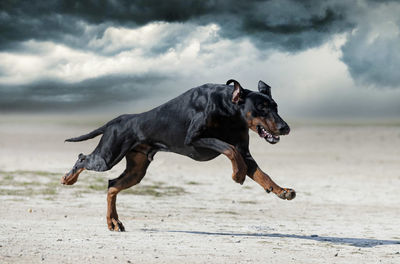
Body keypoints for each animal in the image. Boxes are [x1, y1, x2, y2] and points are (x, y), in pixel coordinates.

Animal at [61, 79, 294, 231]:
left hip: (136, 170)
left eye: (275, 106)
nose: (285, 127)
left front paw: (282, 191)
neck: (229, 108)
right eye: (261, 107)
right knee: (83, 158)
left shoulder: (245, 151)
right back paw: (69, 178)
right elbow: (229, 149)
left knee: (112, 185)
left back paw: (113, 222)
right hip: (107, 156)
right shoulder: (195, 139)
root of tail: (113, 121)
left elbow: (261, 173)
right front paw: (238, 174)